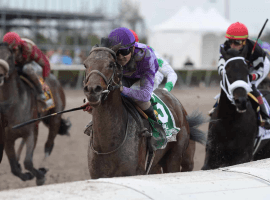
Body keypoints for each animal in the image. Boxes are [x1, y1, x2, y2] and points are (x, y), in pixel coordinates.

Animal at [0, 42, 70, 186]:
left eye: (9, 57)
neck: (13, 104)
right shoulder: (8, 138)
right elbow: (14, 168)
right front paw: (27, 174)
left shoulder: (31, 132)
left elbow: (28, 162)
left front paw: (40, 176)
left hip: (55, 118)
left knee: (49, 145)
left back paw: (43, 165)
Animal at [83, 38, 206, 178]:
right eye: (85, 64)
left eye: (111, 64)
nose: (92, 89)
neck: (108, 146)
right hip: (155, 165)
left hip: (174, 158)